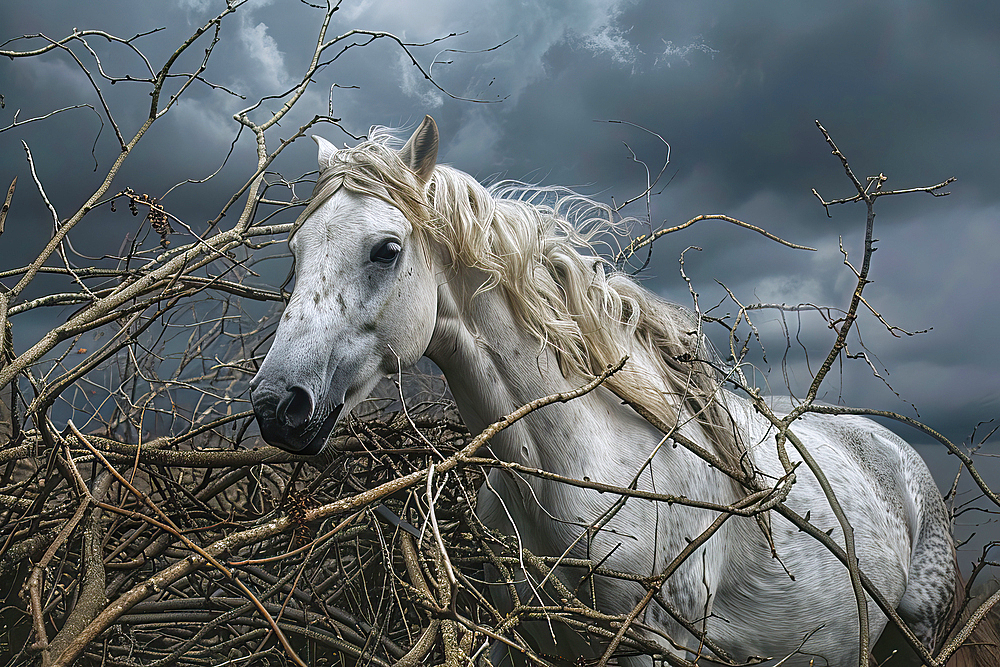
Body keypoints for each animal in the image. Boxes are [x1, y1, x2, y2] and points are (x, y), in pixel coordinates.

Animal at [254, 117, 964, 664]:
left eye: (385, 249)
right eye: (295, 249)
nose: (276, 406)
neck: (571, 468)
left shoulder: (654, 647)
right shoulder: (524, 639)